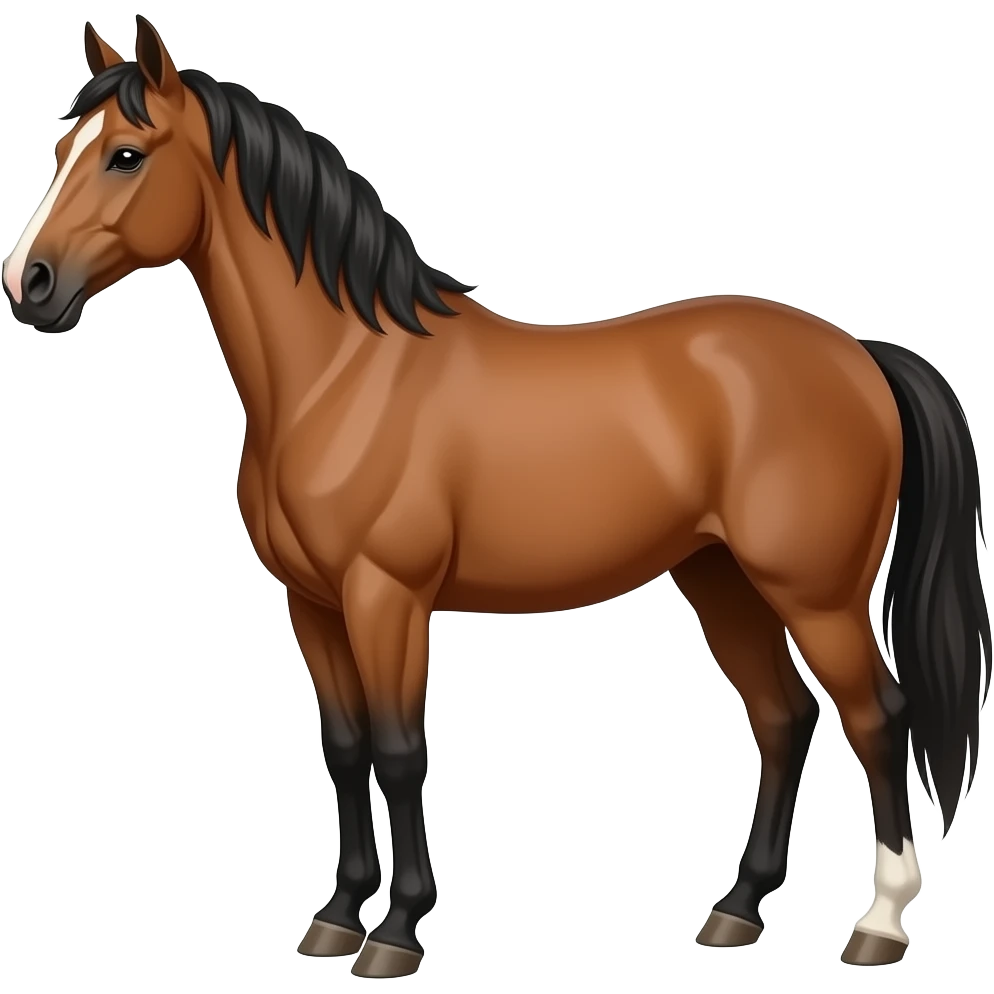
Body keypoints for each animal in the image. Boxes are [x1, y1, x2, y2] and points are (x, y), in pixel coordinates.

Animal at [3, 15, 989, 977]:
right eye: (59, 147)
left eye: (126, 154)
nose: (29, 284)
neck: (343, 374)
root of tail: (860, 354)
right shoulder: (312, 603)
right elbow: (345, 748)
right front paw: (336, 918)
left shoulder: (386, 598)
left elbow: (401, 752)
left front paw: (397, 931)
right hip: (722, 580)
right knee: (786, 719)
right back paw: (736, 912)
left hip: (815, 594)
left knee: (879, 718)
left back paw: (878, 925)